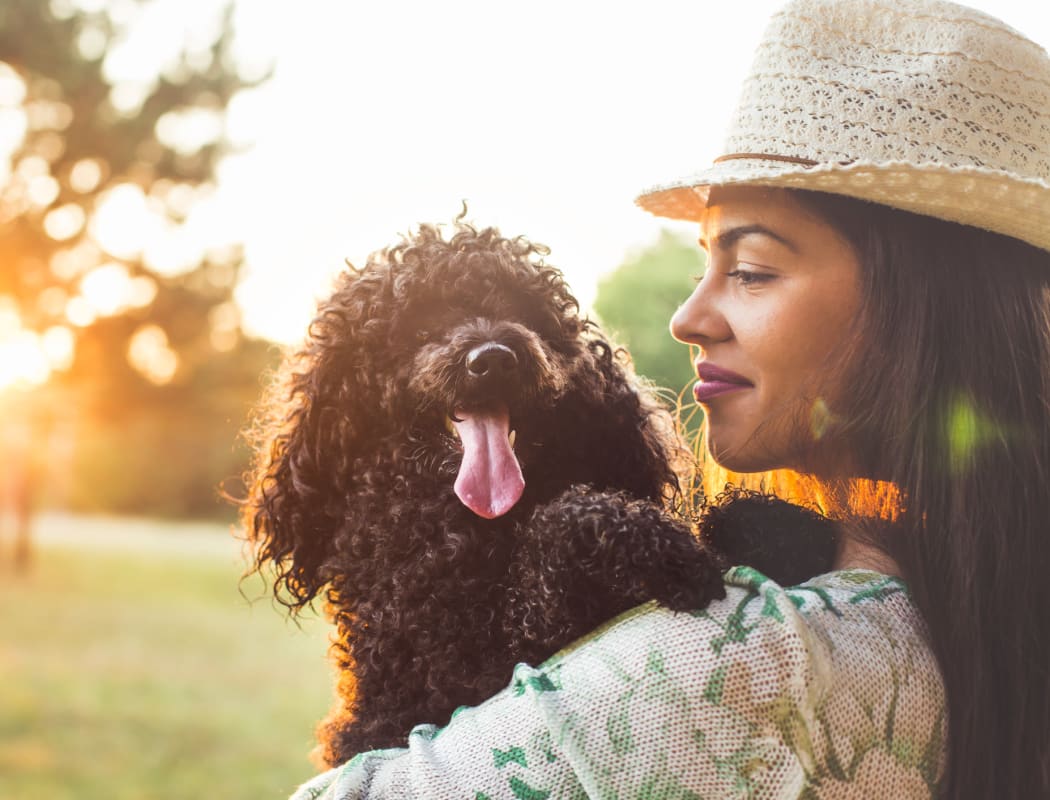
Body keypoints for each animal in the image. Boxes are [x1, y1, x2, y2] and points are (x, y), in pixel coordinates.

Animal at [240, 215, 835, 764]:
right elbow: (566, 526)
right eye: (420, 324)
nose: (493, 357)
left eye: (523, 311)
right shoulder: (458, 668)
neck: (464, 522)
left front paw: (781, 525)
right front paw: (665, 550)